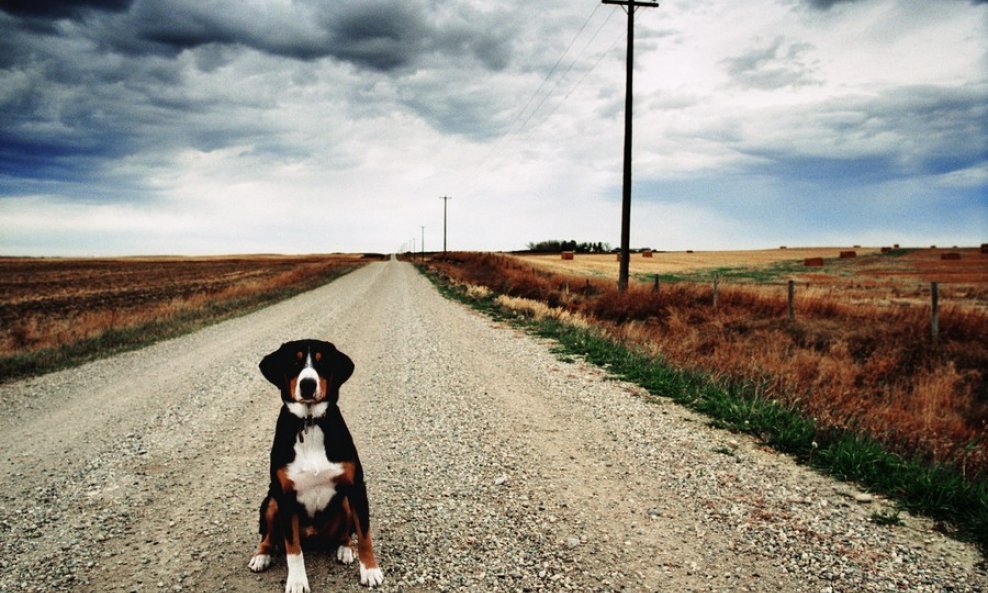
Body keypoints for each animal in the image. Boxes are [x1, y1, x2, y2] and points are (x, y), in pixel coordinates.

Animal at [249, 340, 384, 588]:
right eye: (294, 362)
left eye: (323, 362)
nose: (308, 384)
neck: (309, 423)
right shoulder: (284, 496)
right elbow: (293, 548)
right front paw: (296, 582)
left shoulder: (356, 487)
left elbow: (364, 535)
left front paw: (370, 570)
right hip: (271, 501)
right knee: (269, 537)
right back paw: (261, 555)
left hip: (344, 501)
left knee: (345, 534)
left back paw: (345, 549)